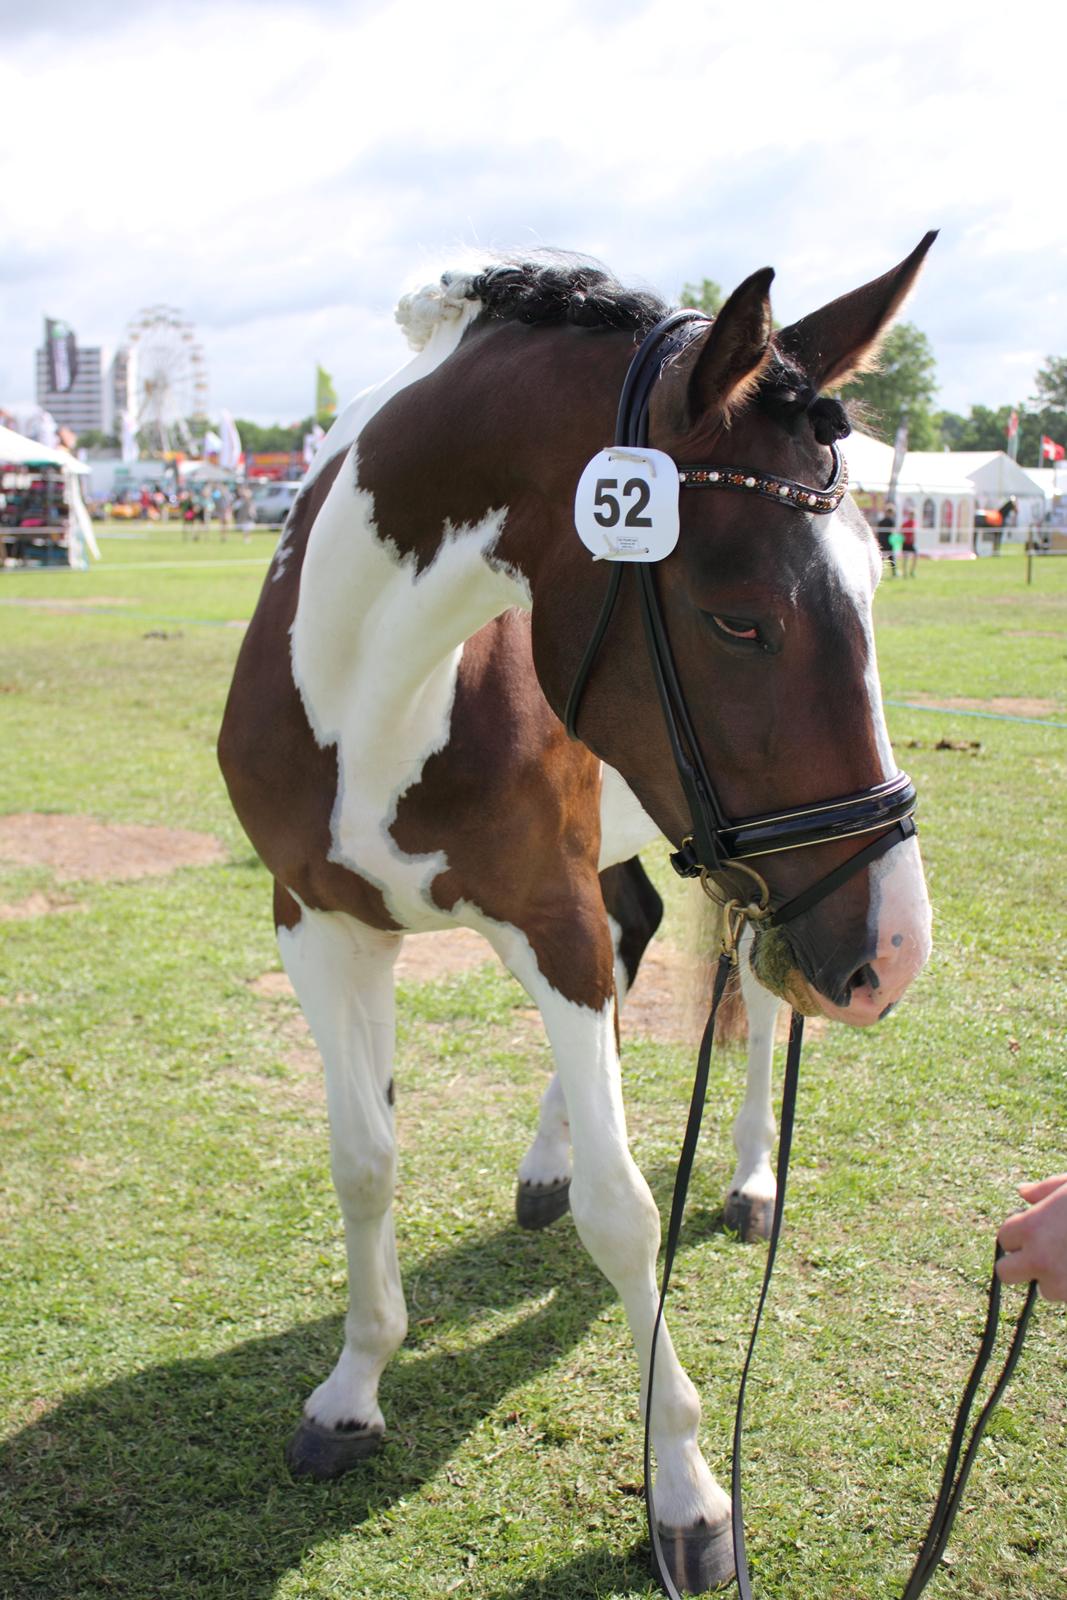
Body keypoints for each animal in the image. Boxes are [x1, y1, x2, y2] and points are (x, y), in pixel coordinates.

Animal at [219, 233, 934, 1587]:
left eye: (879, 585)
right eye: (738, 617)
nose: (893, 950)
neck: (375, 691)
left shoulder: (552, 925)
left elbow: (626, 1210)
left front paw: (688, 1496)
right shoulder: (321, 928)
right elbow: (363, 1159)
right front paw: (352, 1390)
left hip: (744, 894)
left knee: (750, 998)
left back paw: (748, 1175)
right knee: (646, 939)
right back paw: (548, 1160)